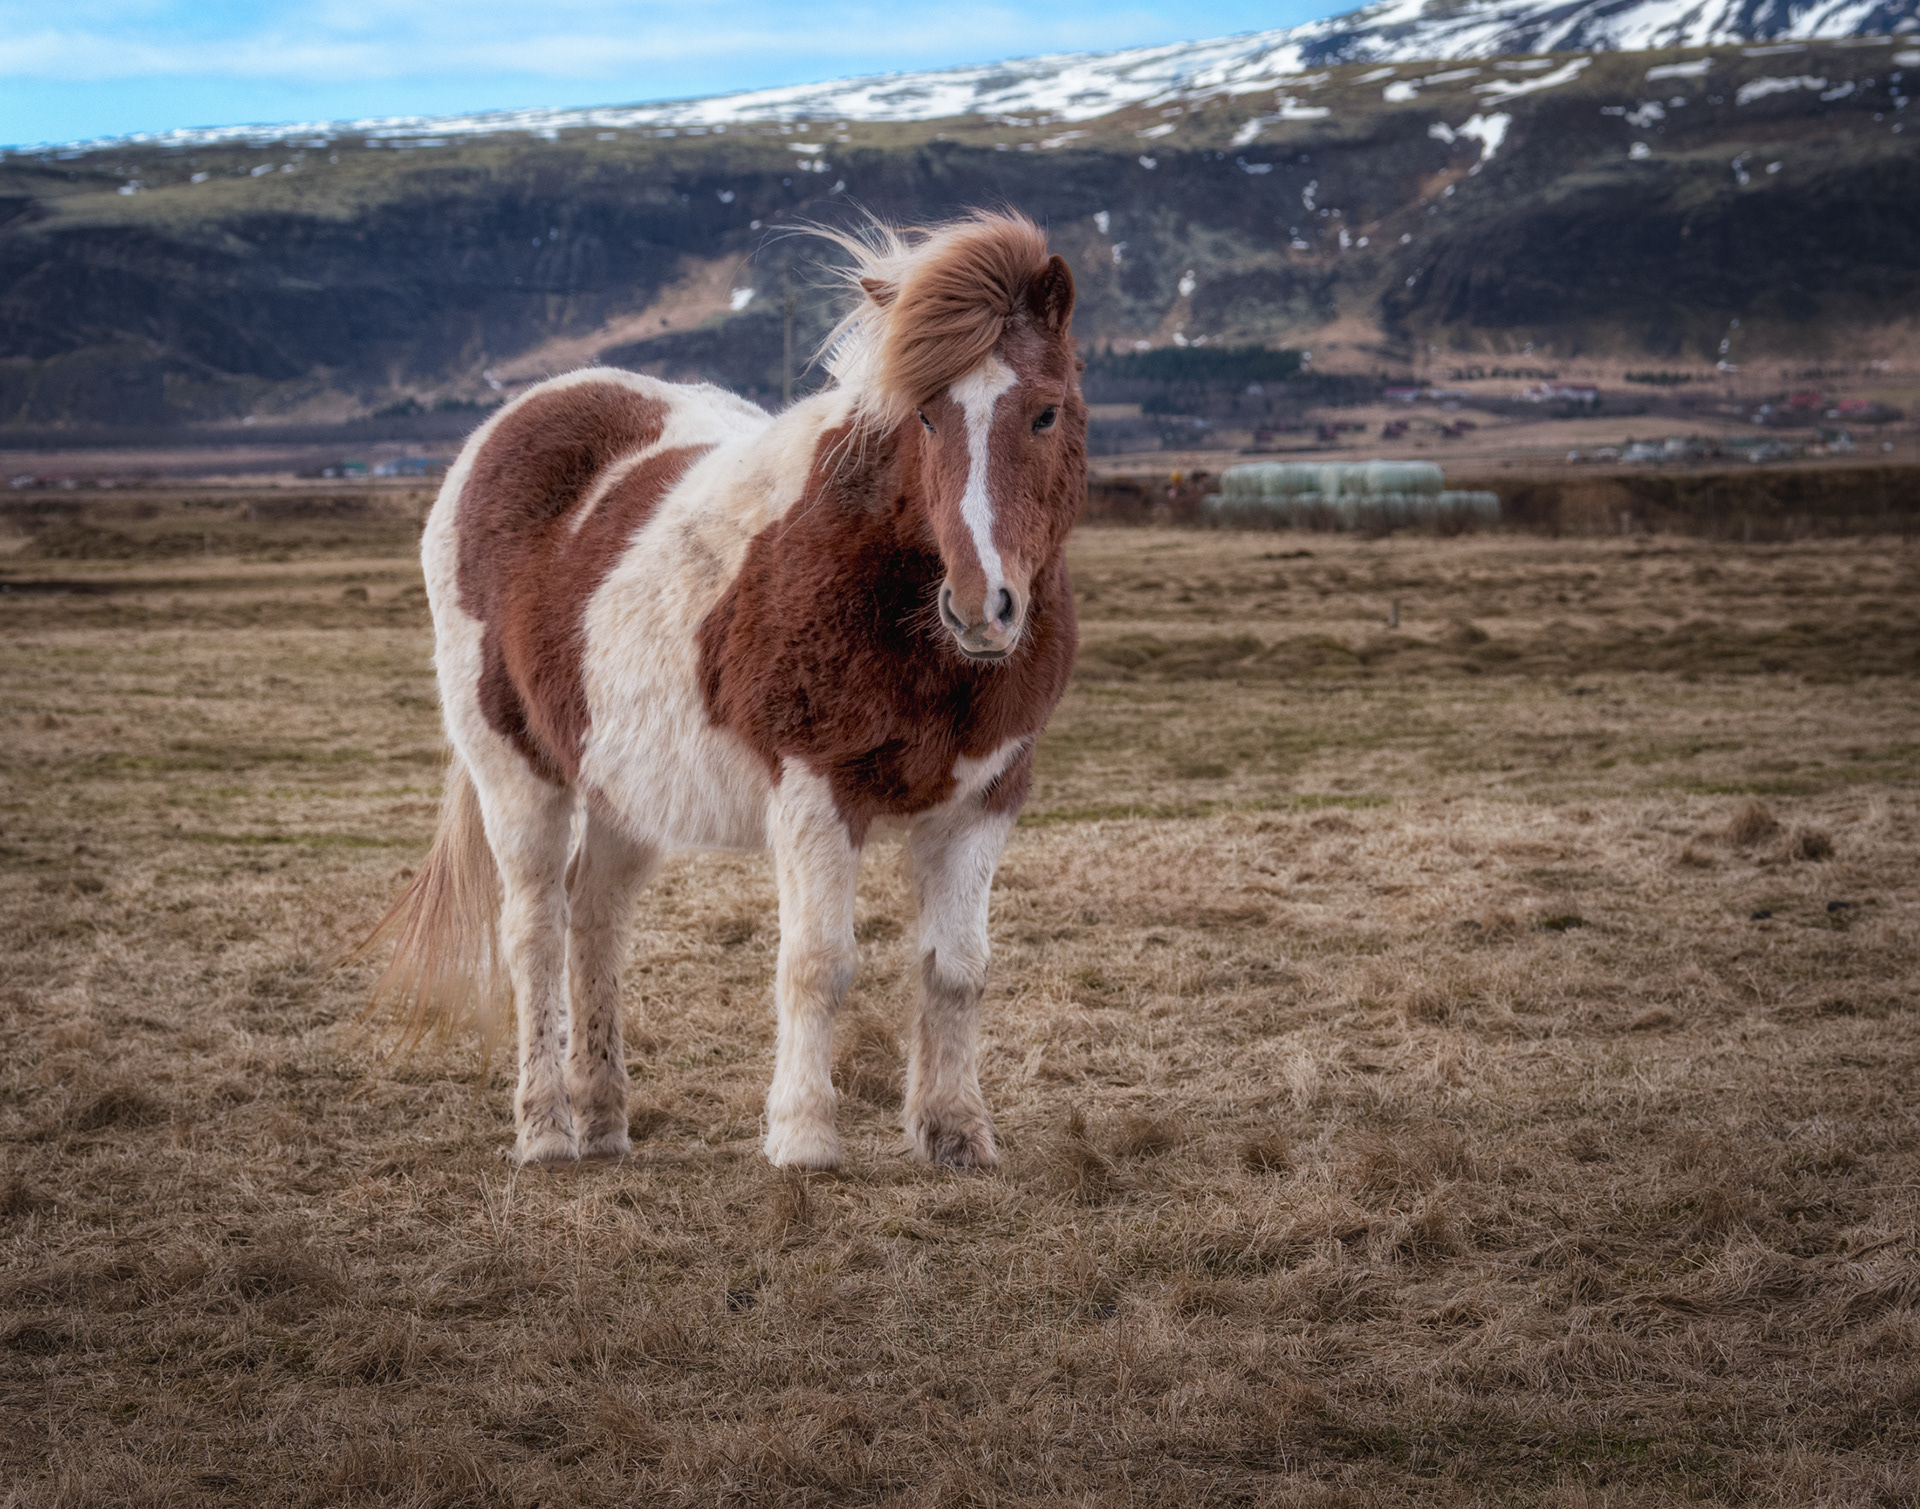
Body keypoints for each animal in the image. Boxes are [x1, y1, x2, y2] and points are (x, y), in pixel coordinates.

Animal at [366, 211, 1085, 1171]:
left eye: (1045, 411)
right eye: (926, 414)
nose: (981, 607)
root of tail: (508, 426)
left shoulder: (987, 799)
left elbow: (957, 968)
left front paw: (957, 1133)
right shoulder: (816, 791)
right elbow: (818, 964)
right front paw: (804, 1138)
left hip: (624, 788)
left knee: (596, 919)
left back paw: (604, 1120)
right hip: (517, 775)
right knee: (536, 931)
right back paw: (547, 1127)